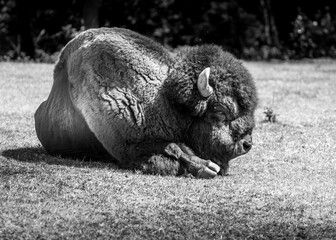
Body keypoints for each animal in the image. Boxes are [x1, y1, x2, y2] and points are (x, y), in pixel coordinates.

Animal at [34, 27, 258, 178]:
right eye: (221, 110)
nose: (247, 144)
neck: (164, 99)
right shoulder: (128, 144)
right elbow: (172, 148)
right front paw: (207, 167)